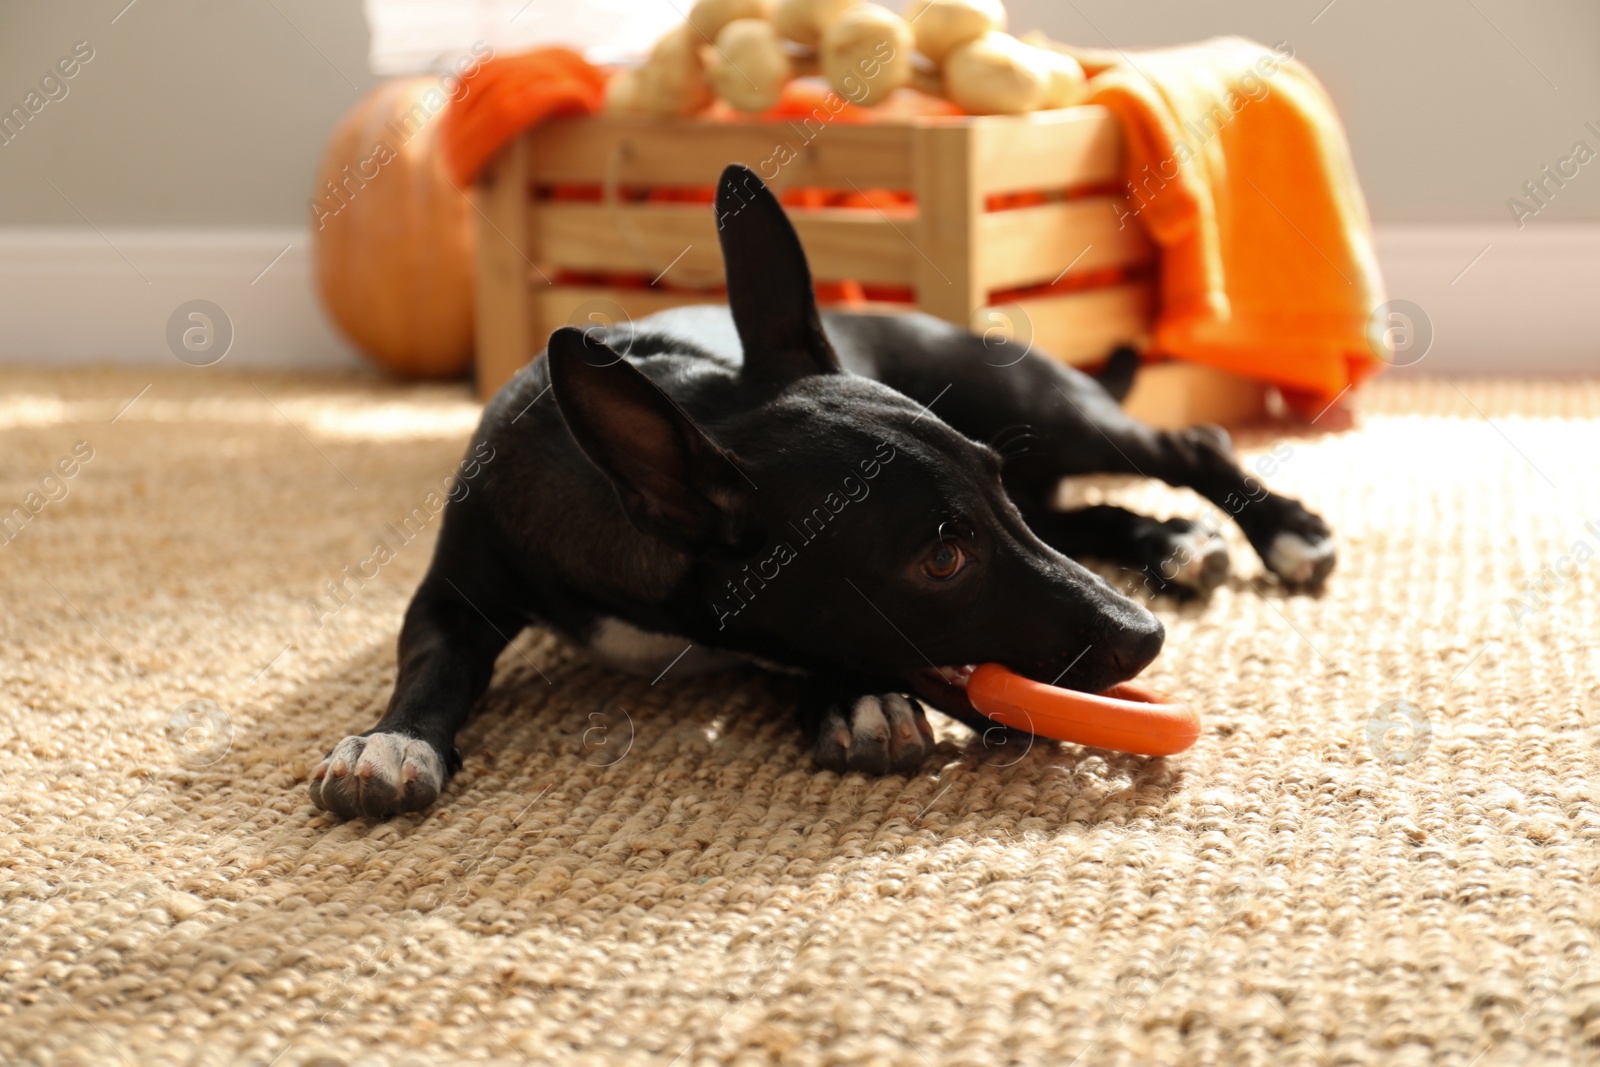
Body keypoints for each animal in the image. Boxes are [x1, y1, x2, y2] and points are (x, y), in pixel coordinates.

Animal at [305, 164, 1331, 819]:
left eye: (988, 484)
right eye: (941, 558)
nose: (1143, 636)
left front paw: (856, 697)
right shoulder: (451, 594)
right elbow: (432, 662)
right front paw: (394, 739)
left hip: (1041, 407)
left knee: (1184, 441)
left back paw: (1281, 532)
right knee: (1090, 511)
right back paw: (1172, 543)